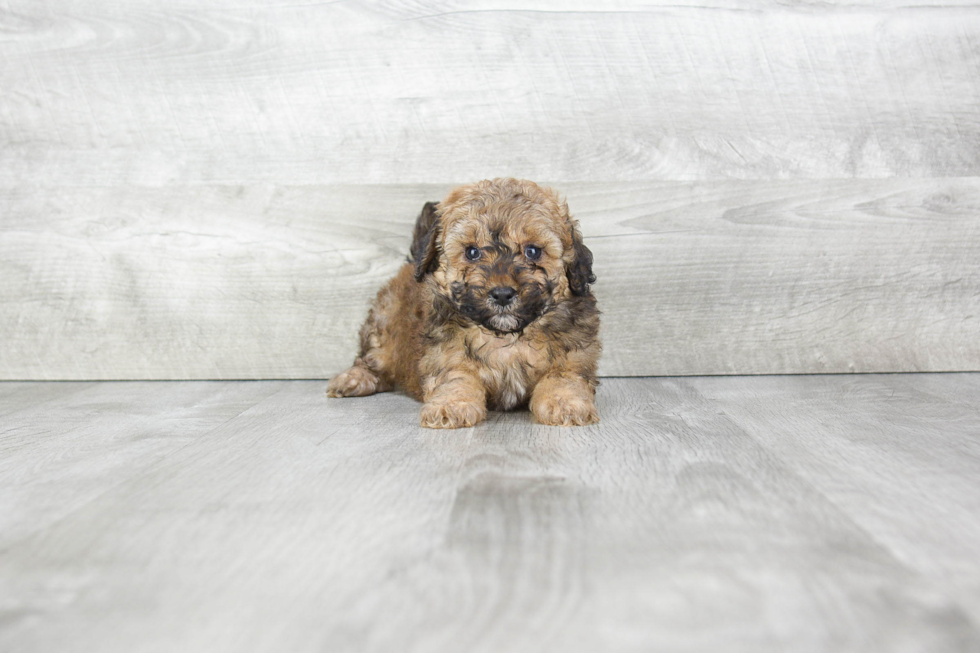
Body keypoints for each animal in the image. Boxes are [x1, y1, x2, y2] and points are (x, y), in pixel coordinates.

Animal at [330, 178, 600, 428]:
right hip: (383, 324)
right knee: (371, 358)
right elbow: (456, 377)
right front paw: (451, 405)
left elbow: (563, 376)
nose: (502, 294)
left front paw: (565, 402)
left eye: (533, 251)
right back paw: (354, 379)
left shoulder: (573, 353)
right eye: (472, 252)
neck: (506, 336)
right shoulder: (446, 352)